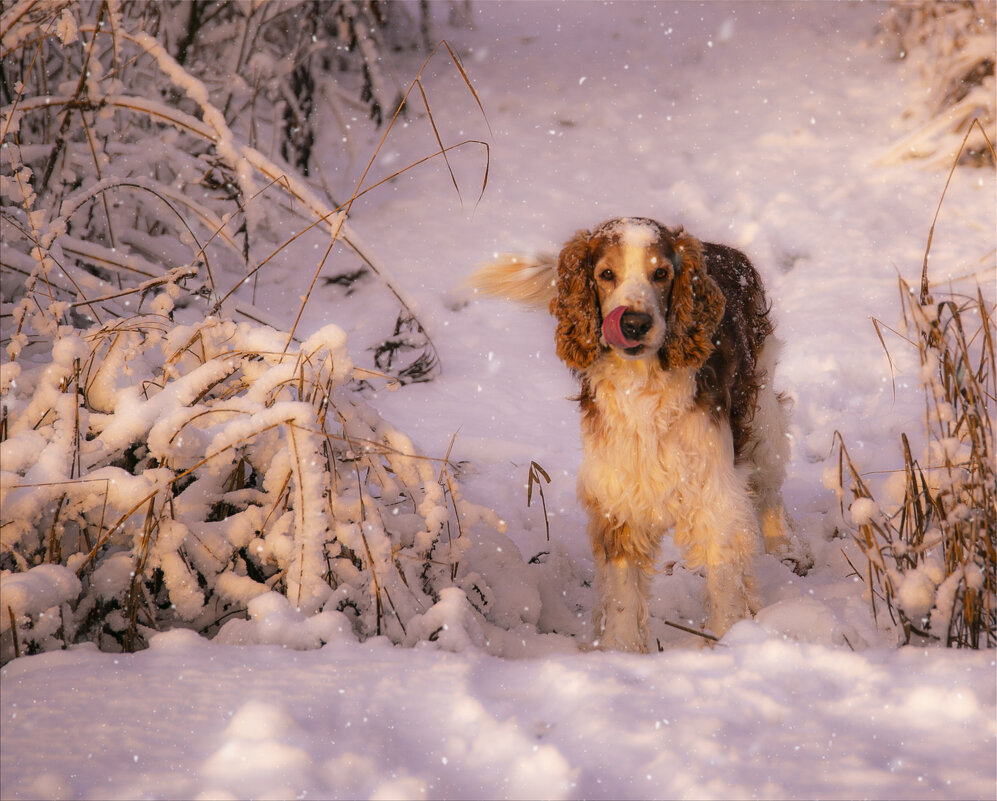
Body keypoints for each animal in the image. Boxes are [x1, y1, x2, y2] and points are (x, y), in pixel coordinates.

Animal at [470, 214, 804, 648]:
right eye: (606, 274)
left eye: (660, 273)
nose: (633, 322)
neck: (642, 385)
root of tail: (719, 249)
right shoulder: (620, 498)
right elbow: (622, 595)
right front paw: (620, 650)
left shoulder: (714, 494)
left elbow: (724, 580)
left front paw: (730, 641)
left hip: (761, 410)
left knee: (768, 486)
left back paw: (787, 547)